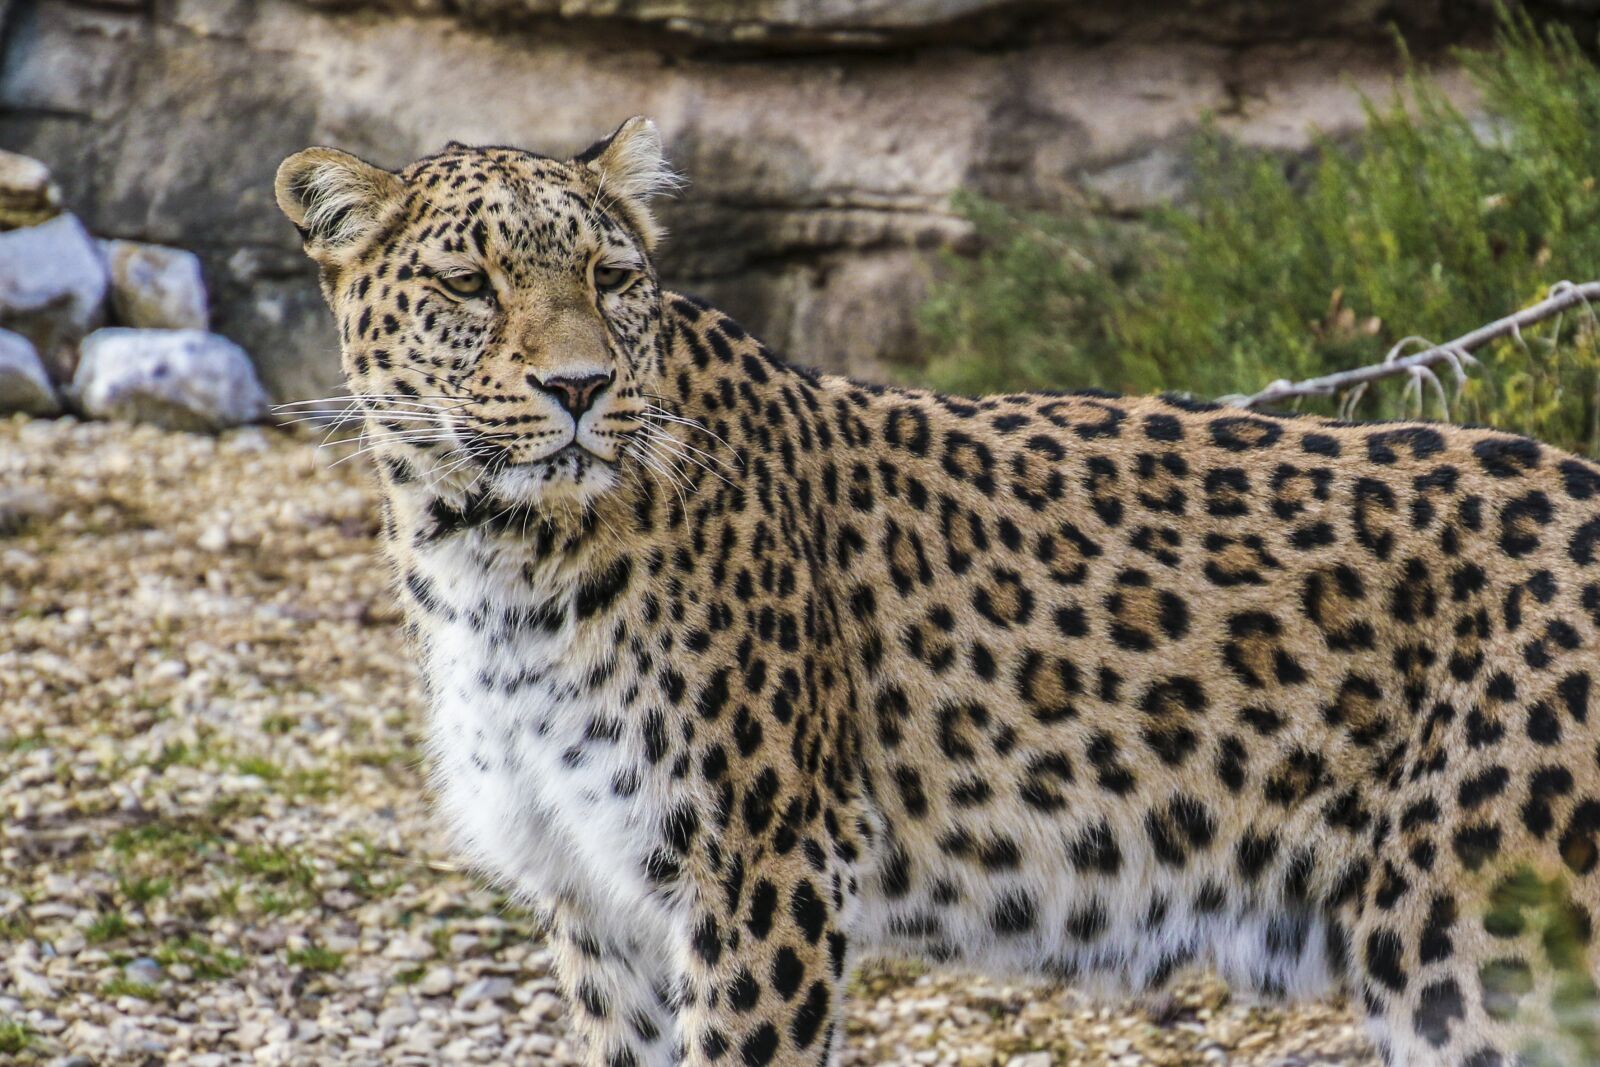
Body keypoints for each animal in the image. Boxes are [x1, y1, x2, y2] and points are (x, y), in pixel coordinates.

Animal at [275, 117, 1600, 1067]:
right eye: (467, 283)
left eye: (610, 276)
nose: (580, 387)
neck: (488, 556)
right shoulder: (594, 895)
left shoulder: (761, 870)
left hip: (1485, 952)